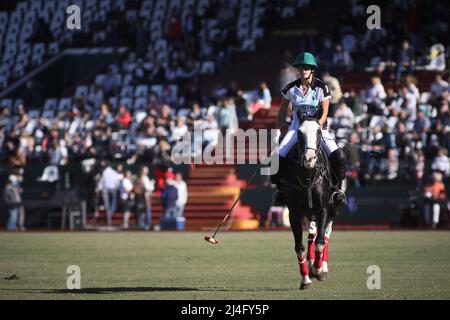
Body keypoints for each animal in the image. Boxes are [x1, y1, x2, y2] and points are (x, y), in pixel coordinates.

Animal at [282, 118, 338, 290]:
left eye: (319, 132)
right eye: (299, 132)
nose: (309, 159)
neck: (307, 176)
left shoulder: (323, 209)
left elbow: (320, 241)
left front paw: (318, 270)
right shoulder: (294, 214)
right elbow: (299, 247)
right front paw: (305, 278)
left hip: (332, 209)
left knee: (325, 234)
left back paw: (322, 267)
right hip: (307, 213)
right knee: (312, 234)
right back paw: (311, 262)